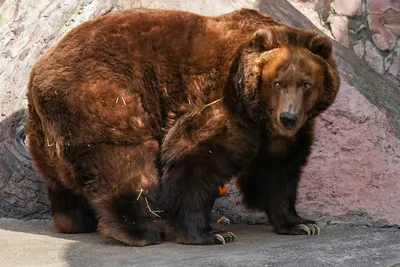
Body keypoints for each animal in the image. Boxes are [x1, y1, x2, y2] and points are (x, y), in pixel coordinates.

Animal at [25, 8, 340, 247]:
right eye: (277, 82)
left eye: (306, 83)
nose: (288, 117)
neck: (256, 109)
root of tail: (38, 70)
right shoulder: (219, 102)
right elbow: (194, 160)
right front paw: (210, 233)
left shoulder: (279, 135)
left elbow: (276, 173)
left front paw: (301, 223)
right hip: (103, 94)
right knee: (124, 159)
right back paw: (140, 230)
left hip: (44, 131)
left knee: (61, 176)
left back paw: (74, 220)